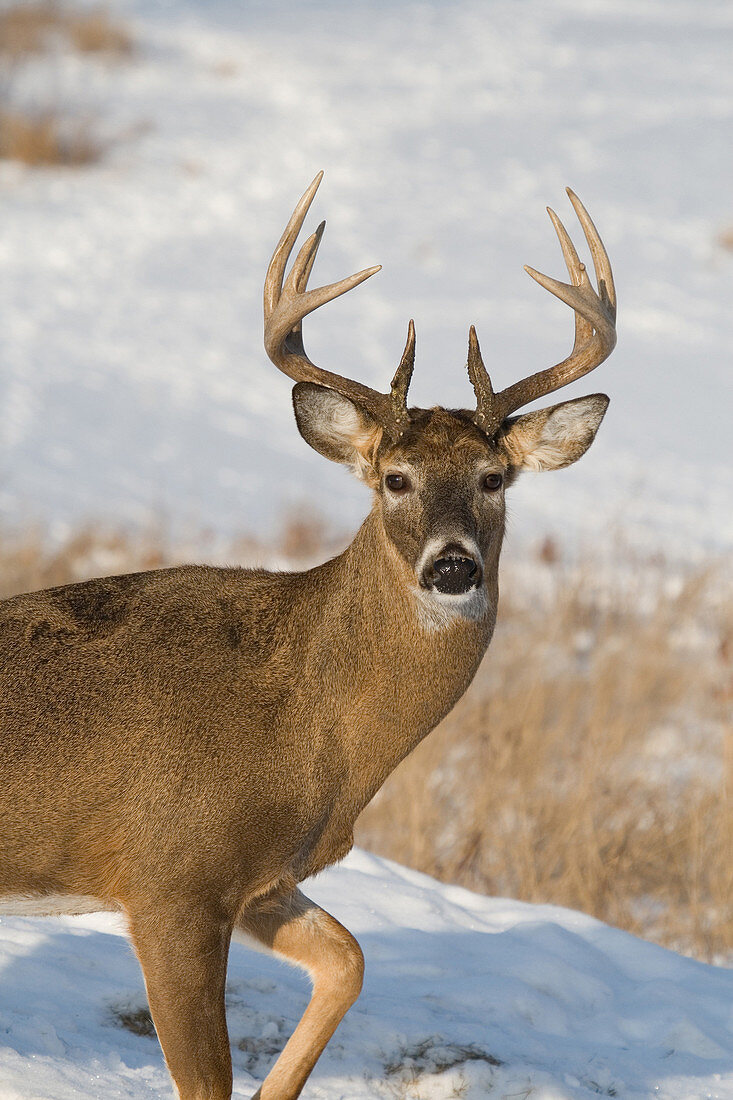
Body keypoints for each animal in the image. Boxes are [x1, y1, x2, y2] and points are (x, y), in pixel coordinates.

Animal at [0, 176, 616, 1100]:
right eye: (393, 479)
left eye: (492, 478)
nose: (452, 566)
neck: (310, 728)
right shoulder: (171, 878)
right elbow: (207, 1079)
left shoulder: (264, 878)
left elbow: (349, 962)